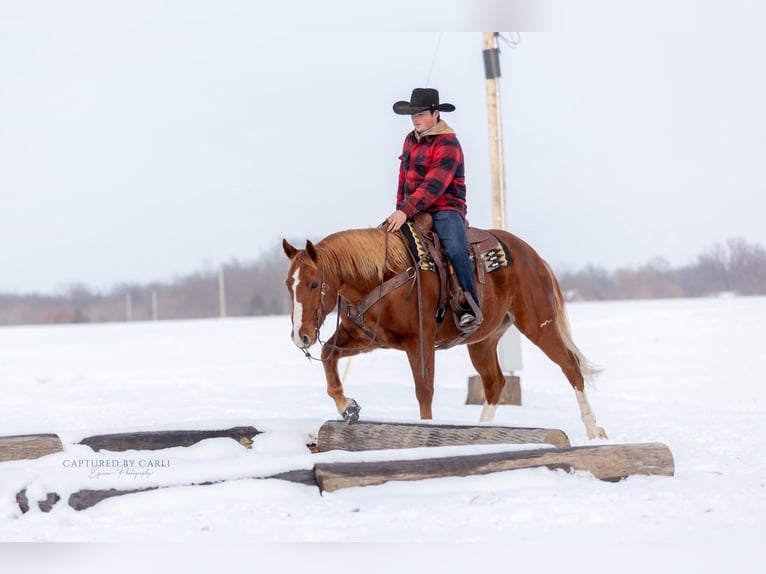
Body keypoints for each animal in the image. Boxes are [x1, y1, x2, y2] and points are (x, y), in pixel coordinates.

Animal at [282, 225, 607, 439]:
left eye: (314, 284)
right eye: (288, 284)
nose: (301, 336)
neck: (384, 275)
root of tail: (533, 257)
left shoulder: (420, 342)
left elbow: (424, 391)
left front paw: (426, 428)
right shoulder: (368, 338)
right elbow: (328, 354)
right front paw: (347, 407)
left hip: (539, 324)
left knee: (570, 366)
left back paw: (594, 429)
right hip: (483, 341)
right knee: (495, 383)